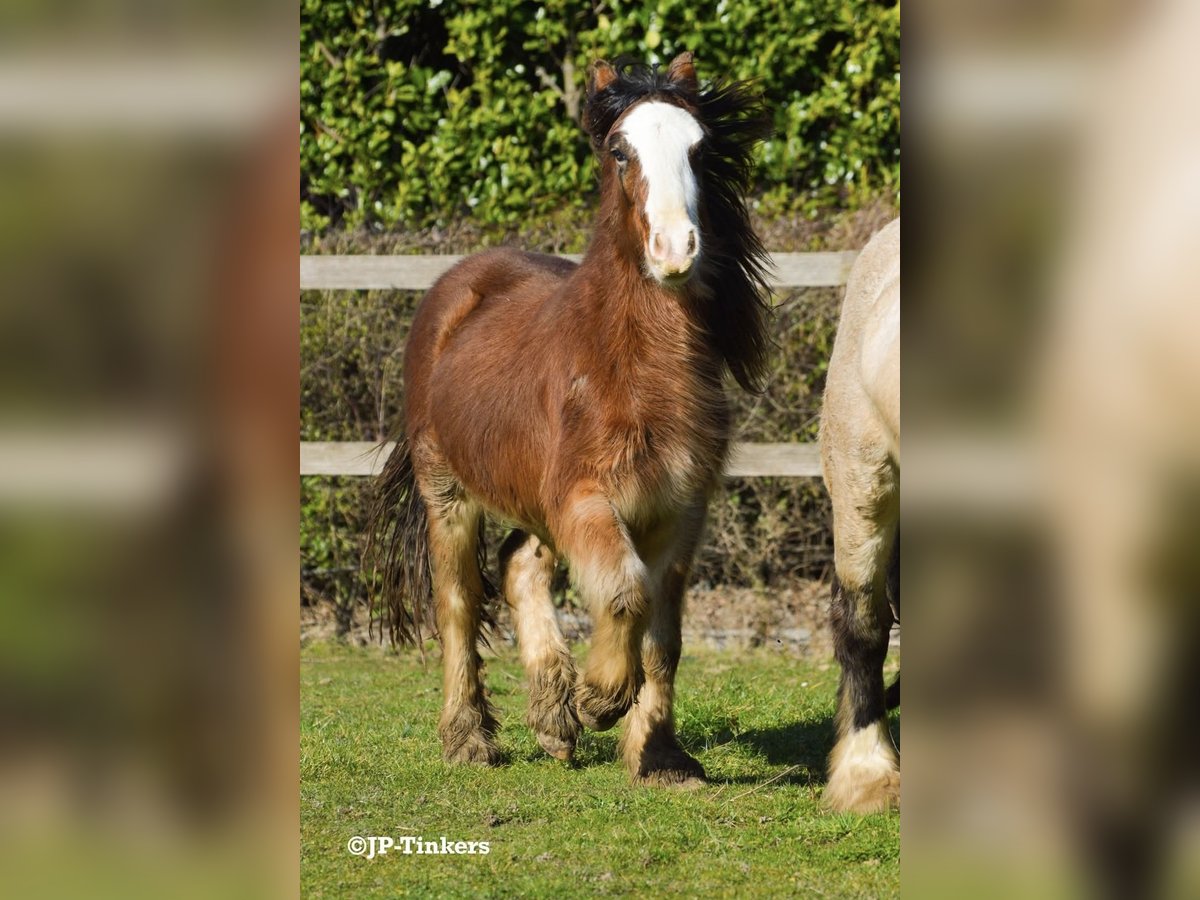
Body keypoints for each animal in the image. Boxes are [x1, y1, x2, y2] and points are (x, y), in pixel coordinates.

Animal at [364, 52, 768, 787]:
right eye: (619, 152)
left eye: (699, 148)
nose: (675, 248)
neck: (627, 366)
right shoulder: (585, 497)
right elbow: (625, 596)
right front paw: (602, 697)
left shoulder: (679, 509)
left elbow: (663, 635)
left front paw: (660, 757)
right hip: (449, 491)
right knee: (459, 602)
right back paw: (472, 738)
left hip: (534, 502)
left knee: (520, 565)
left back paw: (553, 720)